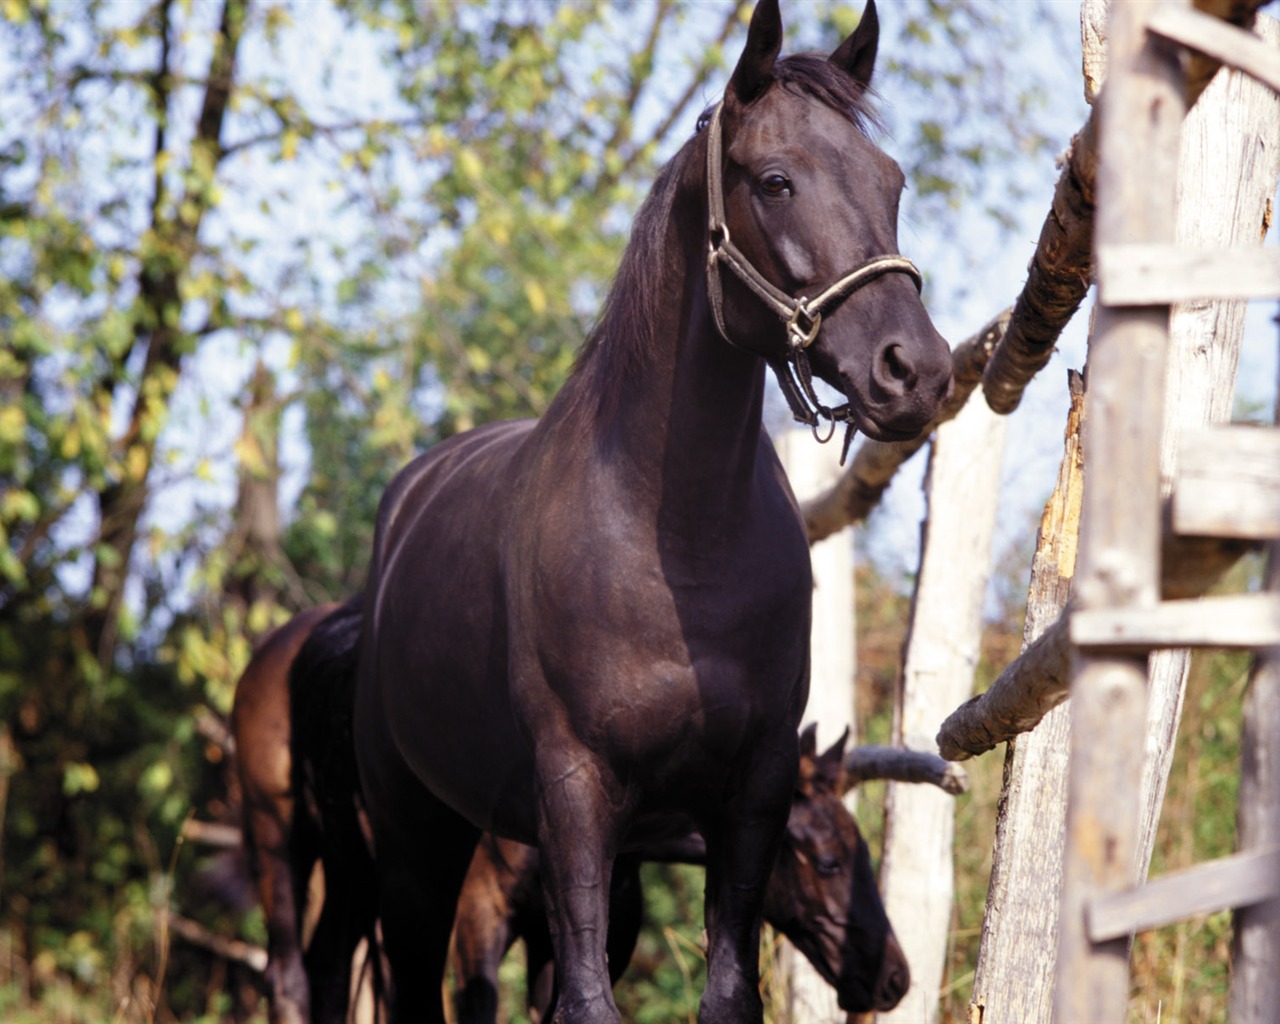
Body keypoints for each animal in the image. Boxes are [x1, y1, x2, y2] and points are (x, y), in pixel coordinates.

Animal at [350, 4, 952, 1018]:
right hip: (416, 843)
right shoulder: (577, 795)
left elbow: (725, 991)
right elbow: (591, 1002)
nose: (916, 370)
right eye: (775, 180)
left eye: (892, 181)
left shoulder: (750, 793)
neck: (676, 546)